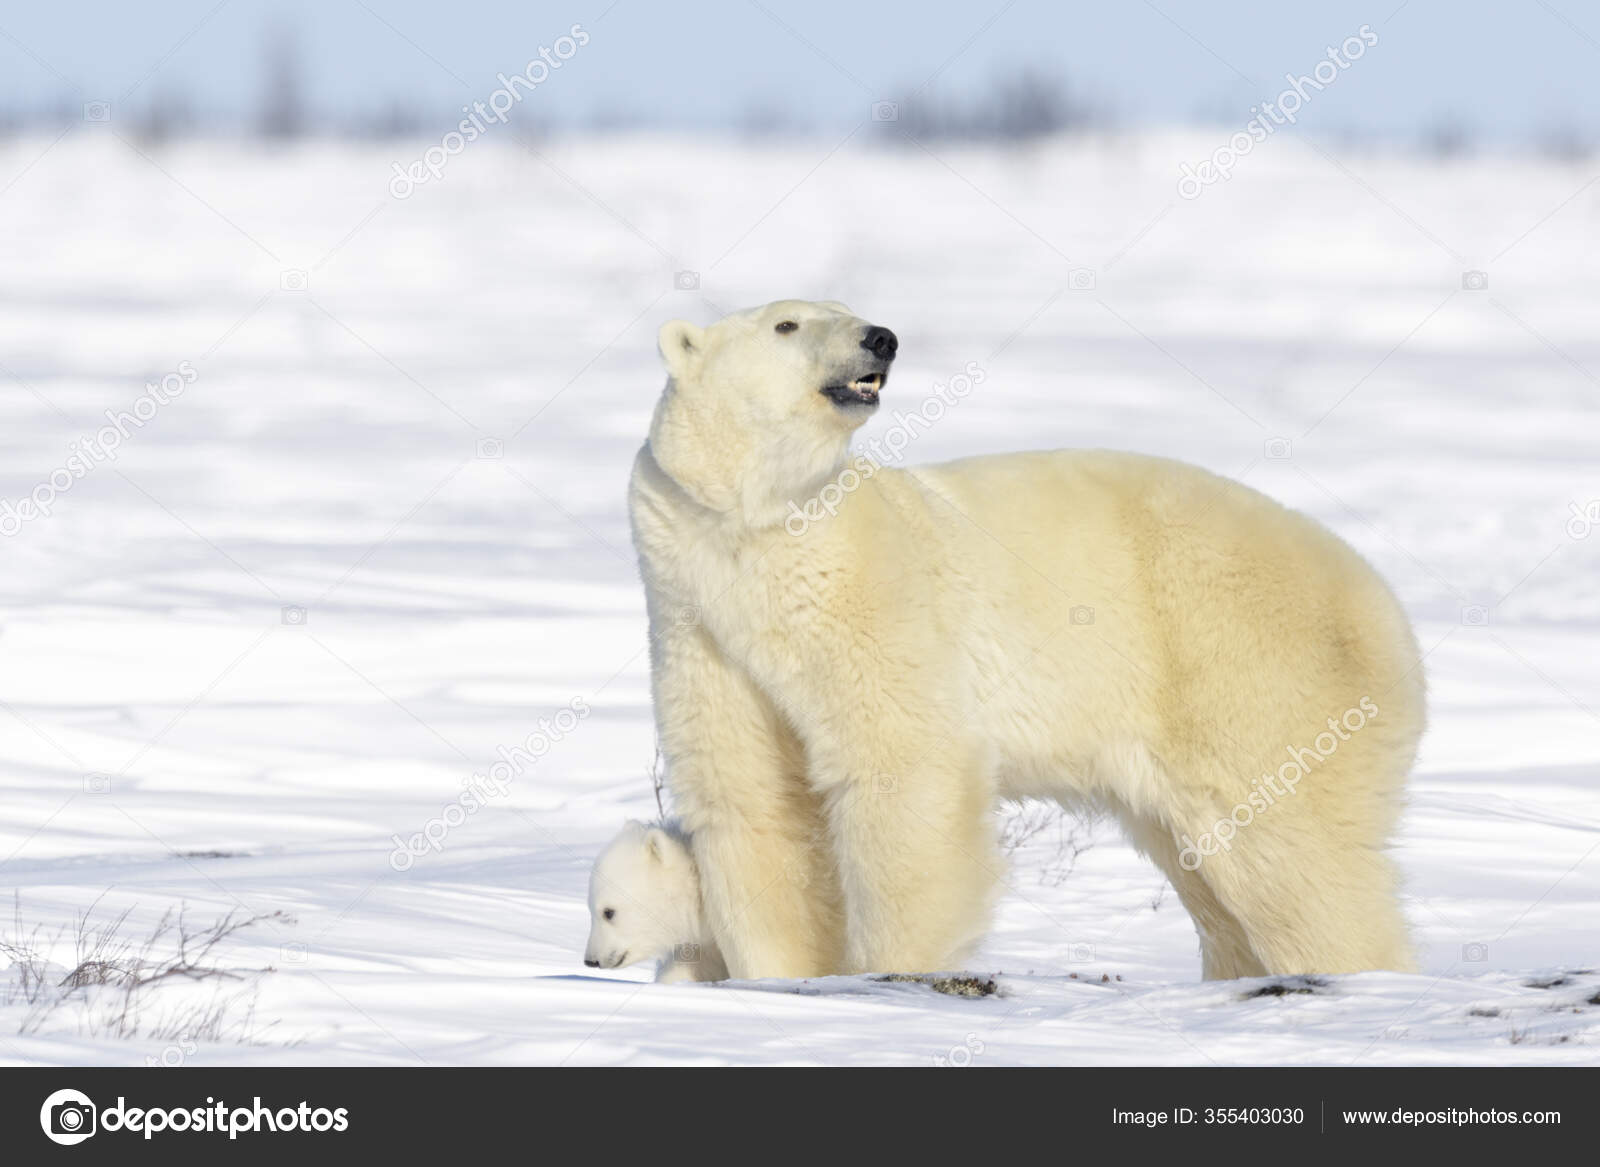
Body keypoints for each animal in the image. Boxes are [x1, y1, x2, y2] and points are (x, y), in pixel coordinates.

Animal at [624, 296, 1427, 979]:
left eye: (846, 311)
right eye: (786, 324)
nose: (880, 338)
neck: (759, 533)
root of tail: (1387, 614)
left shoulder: (868, 592)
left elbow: (905, 765)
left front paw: (893, 970)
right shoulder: (699, 618)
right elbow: (750, 797)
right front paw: (784, 979)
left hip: (1252, 677)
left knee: (1289, 853)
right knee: (1210, 872)